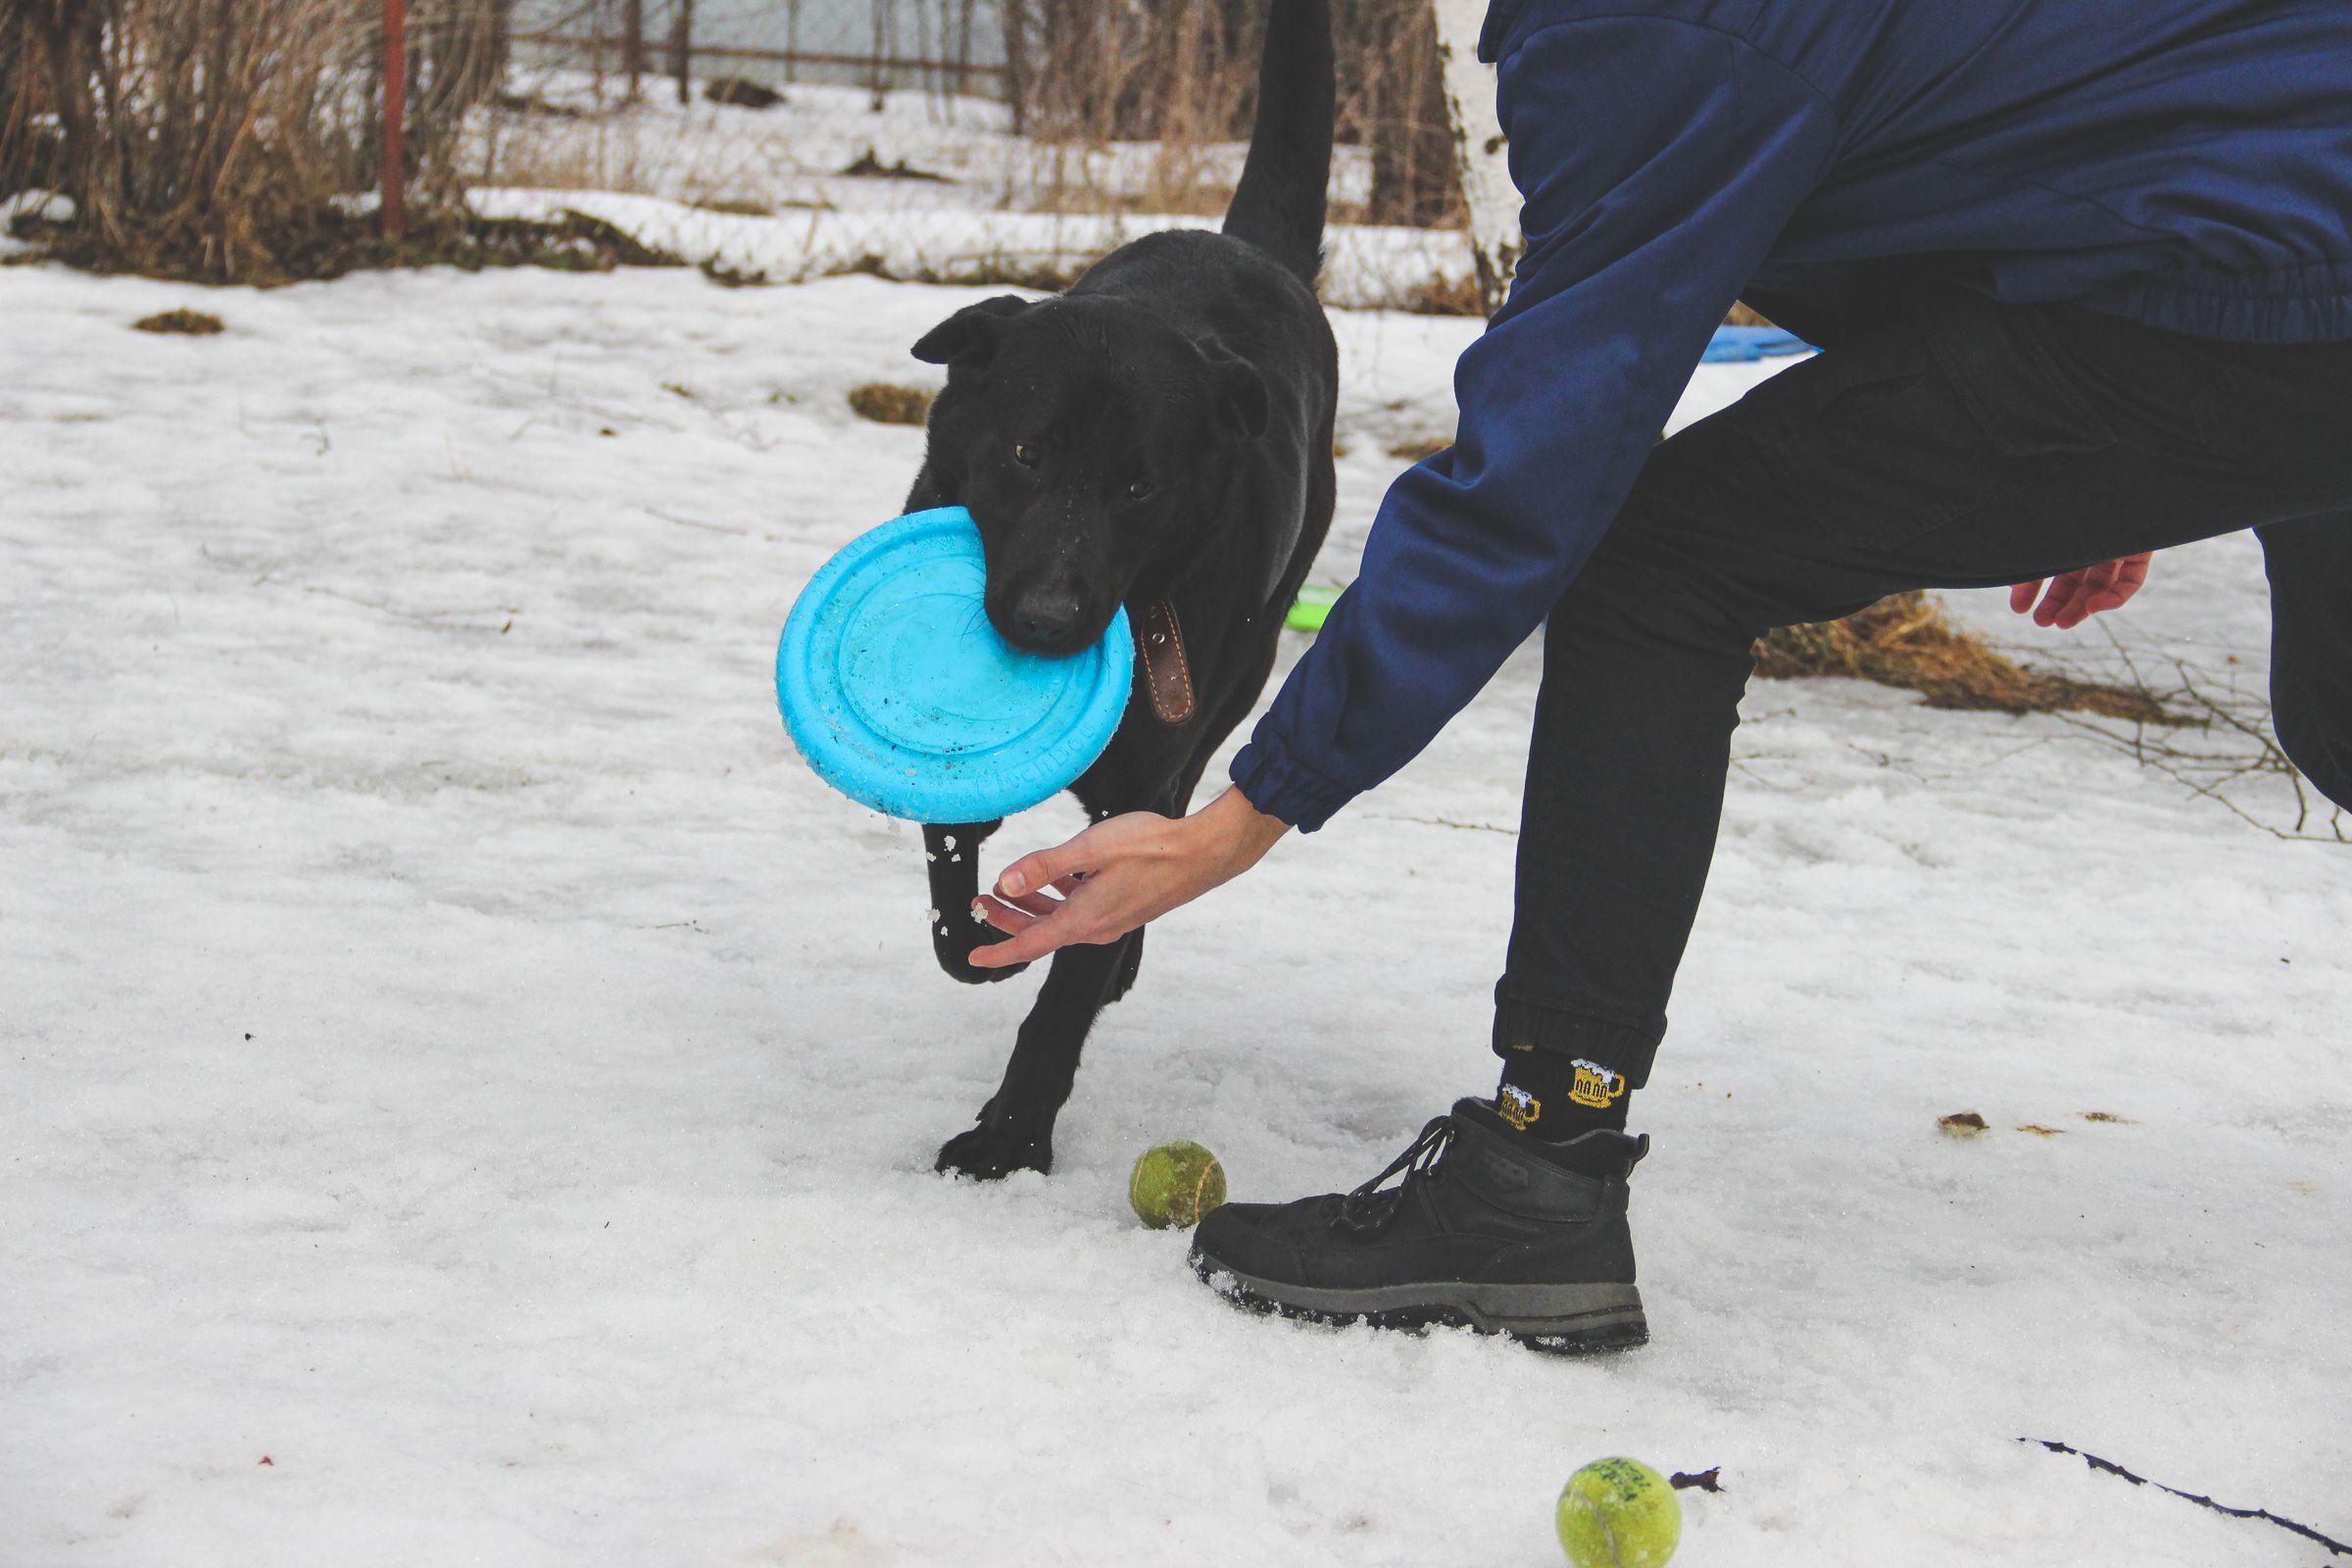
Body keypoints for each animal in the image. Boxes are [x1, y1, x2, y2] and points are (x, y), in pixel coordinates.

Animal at [903, 0, 1336, 1175]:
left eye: (1139, 486)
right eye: (1024, 453)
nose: (1049, 625)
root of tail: (1247, 248)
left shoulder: (1147, 782)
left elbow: (1071, 981)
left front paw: (1008, 1139)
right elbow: (953, 862)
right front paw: (978, 941)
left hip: (1241, 676)